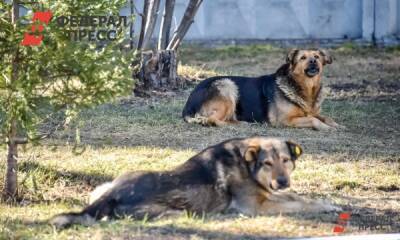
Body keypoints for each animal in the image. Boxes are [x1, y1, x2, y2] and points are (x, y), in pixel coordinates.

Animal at [48, 137, 340, 229]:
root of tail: (114, 193)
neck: (247, 163)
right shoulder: (257, 206)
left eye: (286, 160)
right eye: (268, 163)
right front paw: (322, 207)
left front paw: (329, 203)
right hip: (174, 210)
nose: (282, 181)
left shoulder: (270, 195)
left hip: (107, 183)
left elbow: (299, 198)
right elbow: (298, 204)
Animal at [182, 49, 340, 131]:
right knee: (212, 120)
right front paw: (327, 127)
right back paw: (241, 124)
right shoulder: (284, 120)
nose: (313, 61)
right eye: (303, 58)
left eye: (317, 56)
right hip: (227, 85)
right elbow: (313, 119)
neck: (305, 88)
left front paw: (336, 124)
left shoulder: (311, 112)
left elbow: (324, 117)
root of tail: (188, 105)